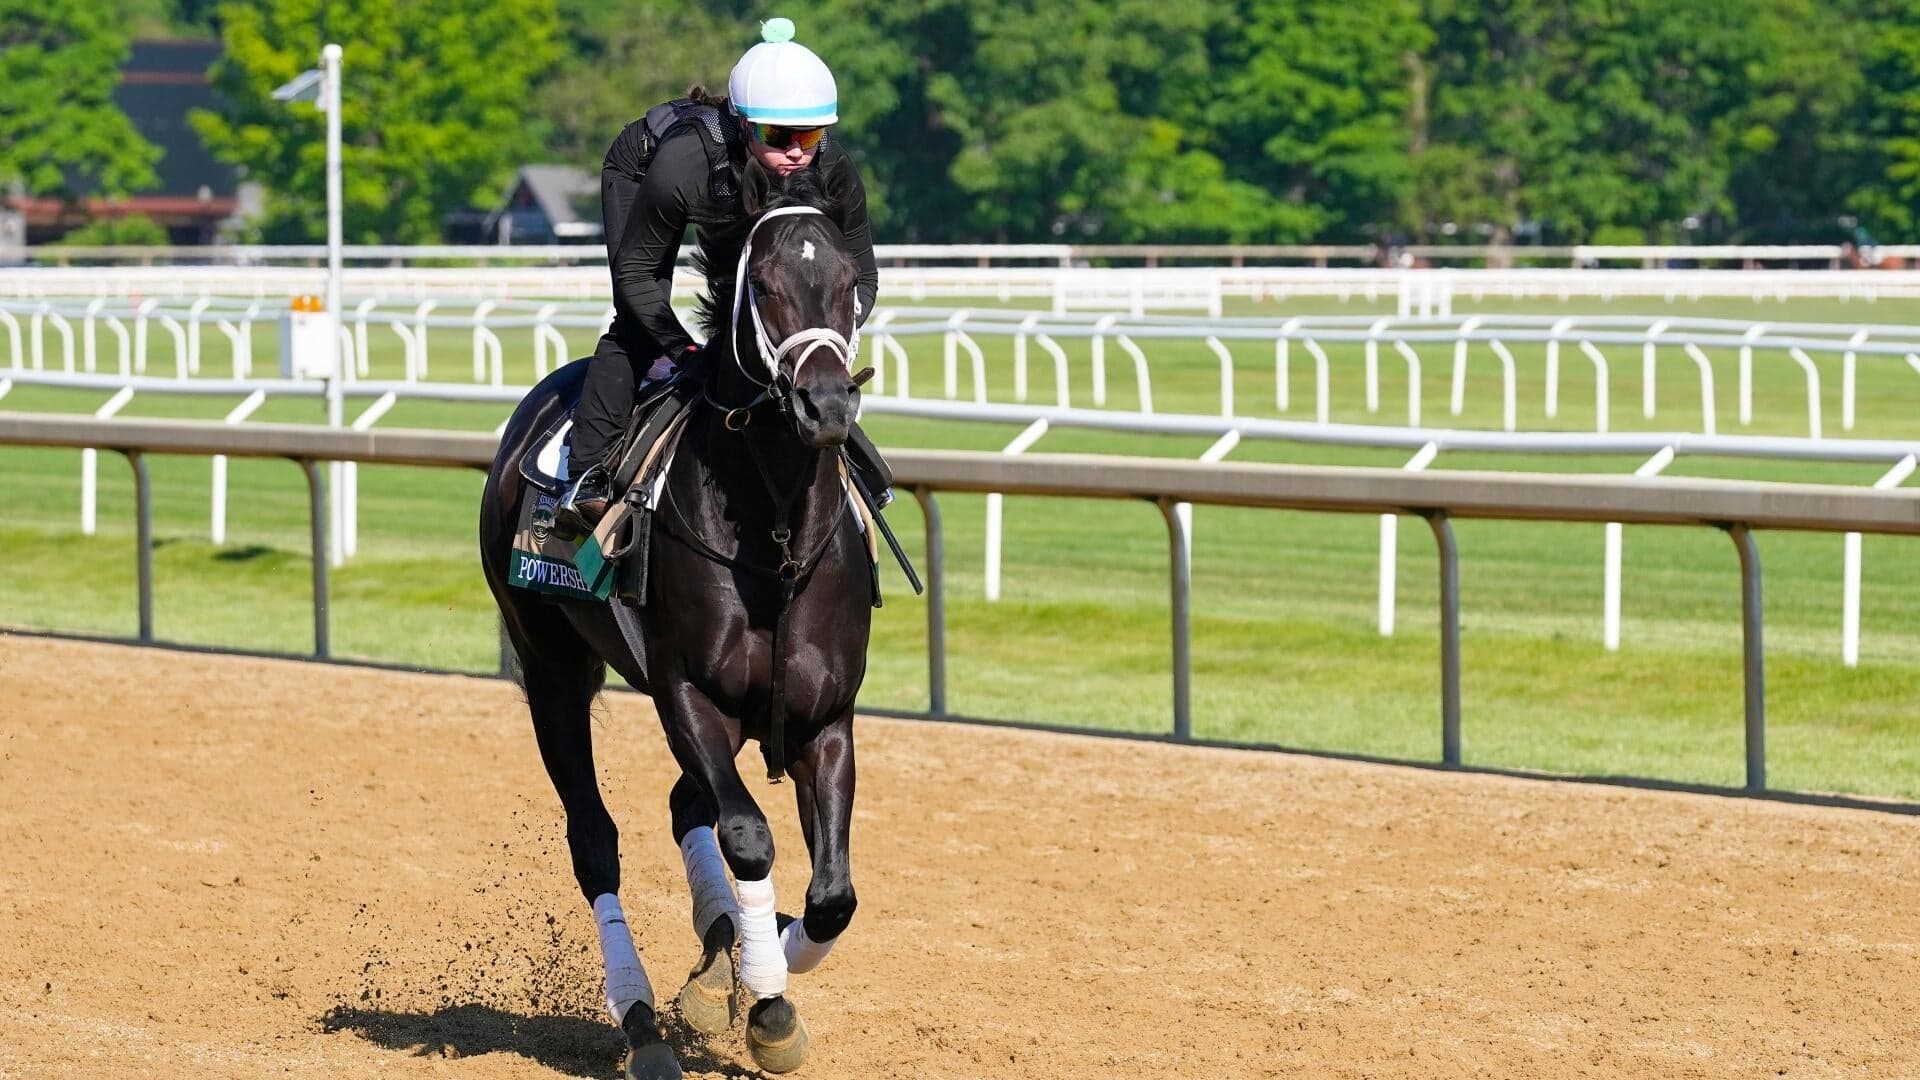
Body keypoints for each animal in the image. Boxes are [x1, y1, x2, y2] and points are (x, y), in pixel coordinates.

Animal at [478, 167, 873, 1079]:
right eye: (763, 287)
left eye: (848, 283)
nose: (826, 406)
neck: (775, 540)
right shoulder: (687, 692)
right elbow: (749, 837)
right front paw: (765, 1000)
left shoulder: (825, 717)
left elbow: (832, 897)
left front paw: (756, 967)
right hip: (552, 671)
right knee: (597, 841)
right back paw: (644, 1023)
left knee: (684, 804)